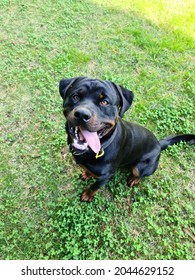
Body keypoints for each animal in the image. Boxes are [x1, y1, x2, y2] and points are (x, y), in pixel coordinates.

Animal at [59, 76, 195, 201]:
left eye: (105, 102)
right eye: (75, 96)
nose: (82, 114)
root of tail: (158, 143)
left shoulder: (105, 177)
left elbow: (94, 187)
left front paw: (88, 195)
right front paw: (87, 174)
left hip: (141, 167)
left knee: (140, 174)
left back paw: (134, 179)